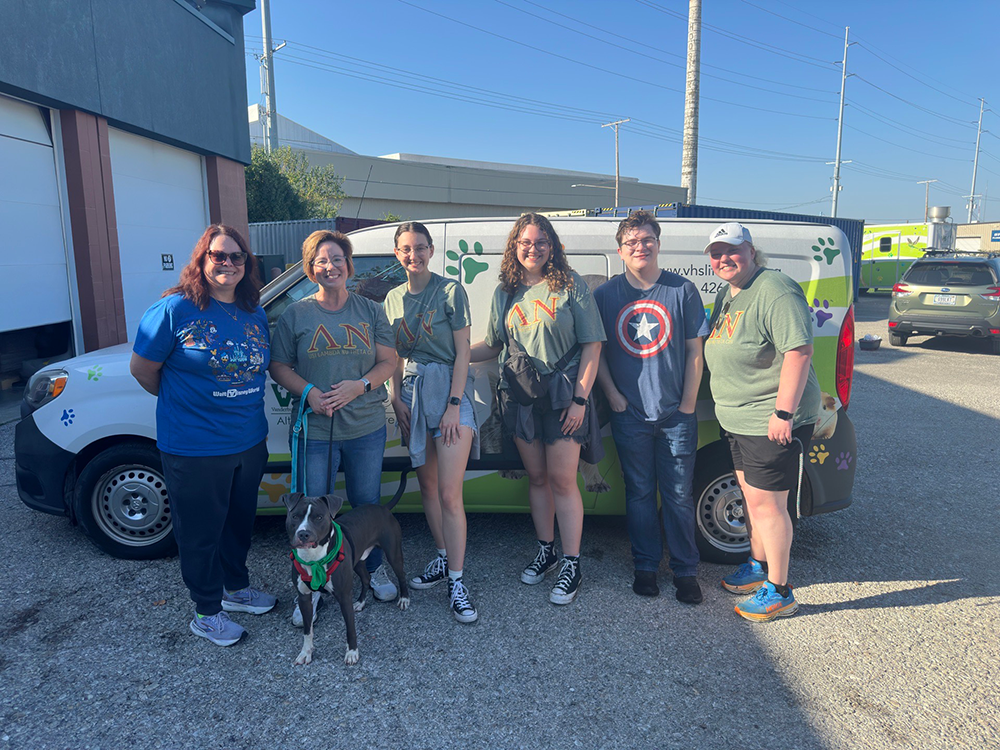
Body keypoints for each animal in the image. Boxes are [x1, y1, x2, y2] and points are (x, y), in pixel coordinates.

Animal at [282, 492, 409, 666]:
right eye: (295, 516)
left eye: (319, 517)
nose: (303, 534)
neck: (314, 559)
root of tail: (382, 507)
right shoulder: (304, 598)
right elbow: (307, 630)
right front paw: (306, 652)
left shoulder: (344, 597)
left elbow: (350, 628)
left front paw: (352, 652)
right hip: (358, 560)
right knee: (366, 578)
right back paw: (360, 602)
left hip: (393, 553)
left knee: (401, 575)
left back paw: (404, 599)